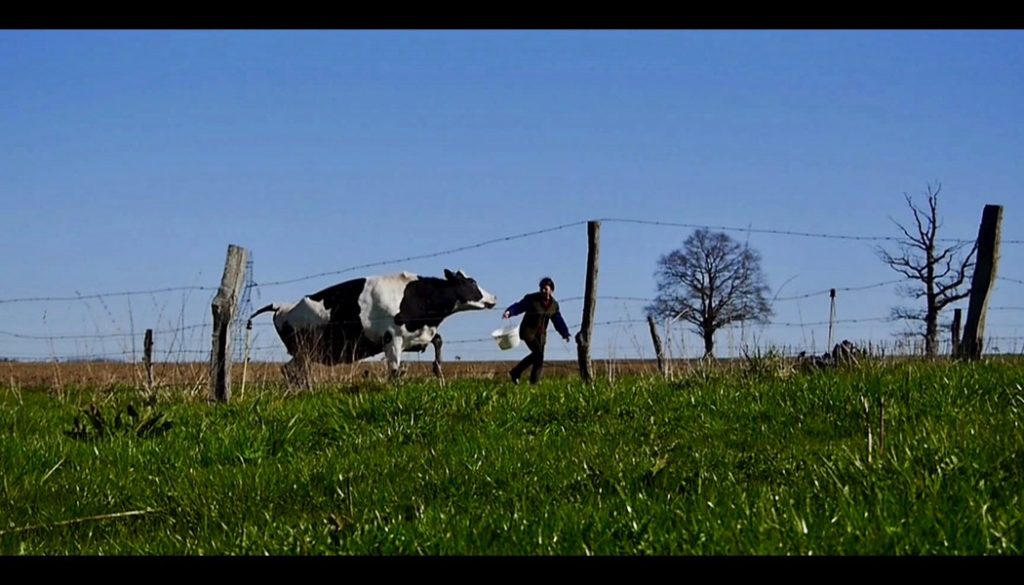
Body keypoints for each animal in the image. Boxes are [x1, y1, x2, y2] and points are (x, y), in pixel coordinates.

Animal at [251, 270, 499, 389]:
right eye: (471, 282)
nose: (494, 298)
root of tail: (282, 306)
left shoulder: (417, 334)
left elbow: (437, 341)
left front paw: (438, 370)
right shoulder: (392, 338)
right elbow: (394, 370)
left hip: (304, 353)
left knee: (289, 369)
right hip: (304, 350)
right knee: (295, 370)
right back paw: (306, 389)